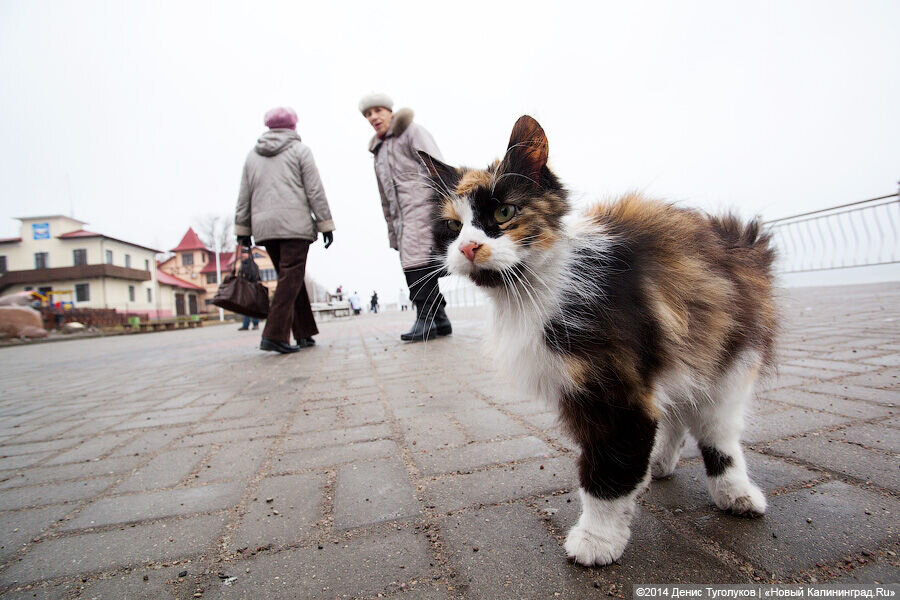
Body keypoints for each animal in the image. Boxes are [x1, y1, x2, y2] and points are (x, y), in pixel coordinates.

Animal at [418, 116, 776, 568]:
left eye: (504, 211)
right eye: (452, 226)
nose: (467, 246)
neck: (534, 290)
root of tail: (738, 236)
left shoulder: (616, 393)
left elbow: (607, 471)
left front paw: (595, 540)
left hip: (728, 361)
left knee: (717, 431)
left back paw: (736, 493)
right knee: (678, 409)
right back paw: (660, 463)